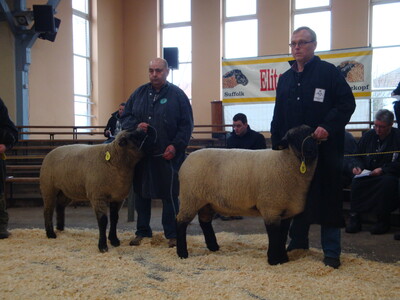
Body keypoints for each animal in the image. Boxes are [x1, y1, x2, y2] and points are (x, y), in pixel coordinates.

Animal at [175, 124, 318, 264]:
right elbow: (274, 235)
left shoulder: (286, 210)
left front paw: (283, 259)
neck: (283, 160)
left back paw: (213, 247)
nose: (311, 150)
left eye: (313, 135)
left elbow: (282, 235)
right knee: (181, 222)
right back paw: (182, 253)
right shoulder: (270, 207)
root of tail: (188, 158)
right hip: (190, 198)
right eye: (293, 138)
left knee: (204, 222)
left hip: (207, 202)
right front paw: (273, 260)